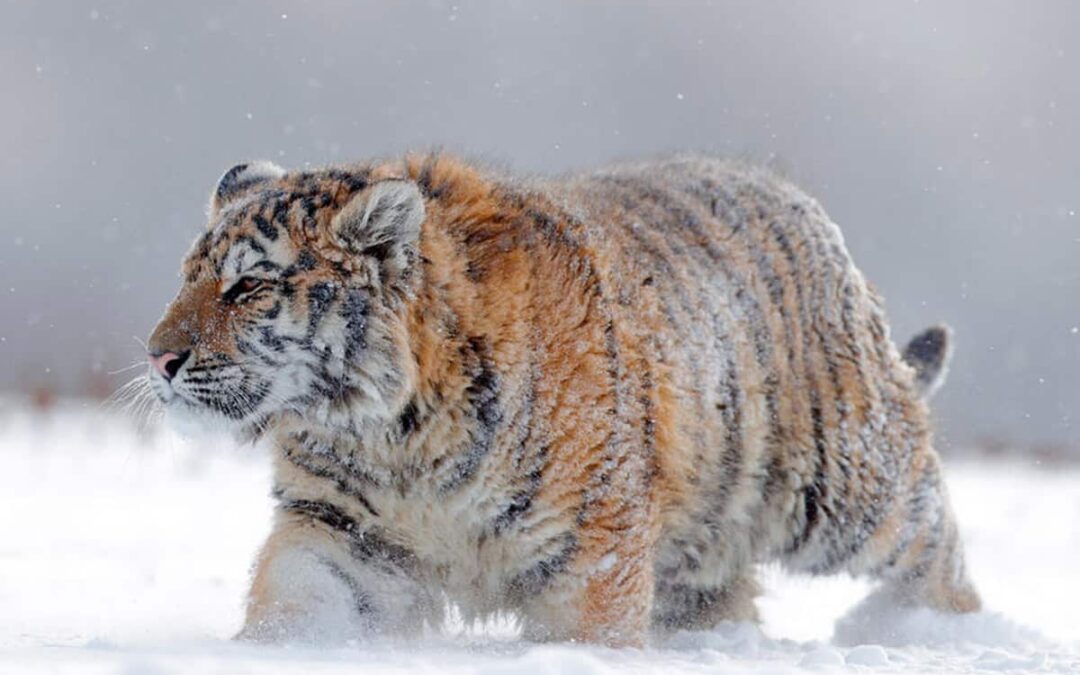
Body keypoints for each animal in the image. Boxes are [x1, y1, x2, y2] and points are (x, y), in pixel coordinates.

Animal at [145, 152, 980, 646]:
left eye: (246, 286)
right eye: (186, 275)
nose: (158, 357)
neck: (388, 434)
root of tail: (807, 207)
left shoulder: (591, 549)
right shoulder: (342, 529)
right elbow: (297, 601)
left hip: (846, 489)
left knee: (933, 532)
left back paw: (936, 631)